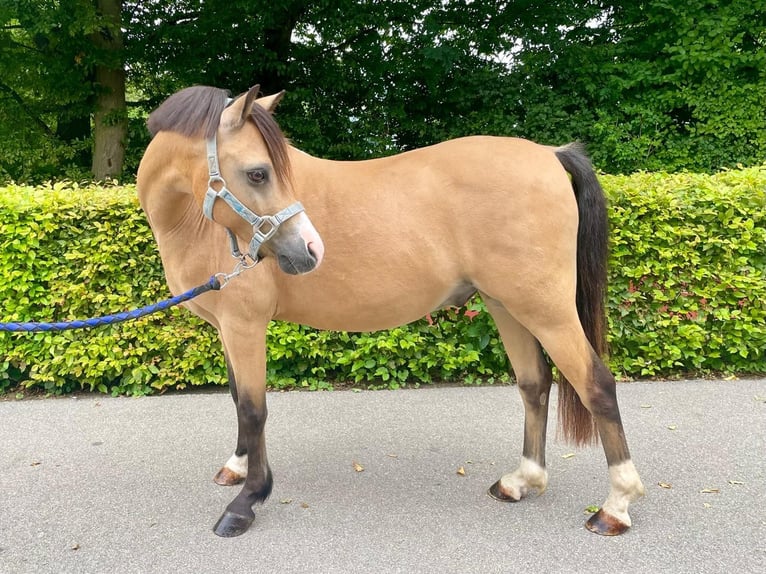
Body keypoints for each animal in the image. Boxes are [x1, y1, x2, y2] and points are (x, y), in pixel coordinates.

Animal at [138, 84, 648, 540]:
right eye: (260, 173)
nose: (311, 249)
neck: (194, 224)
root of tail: (549, 154)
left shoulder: (245, 326)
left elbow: (253, 408)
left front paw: (246, 502)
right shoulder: (227, 328)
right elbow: (236, 399)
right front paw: (237, 467)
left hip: (547, 311)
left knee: (597, 386)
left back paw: (615, 507)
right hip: (506, 305)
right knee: (534, 385)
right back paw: (520, 481)